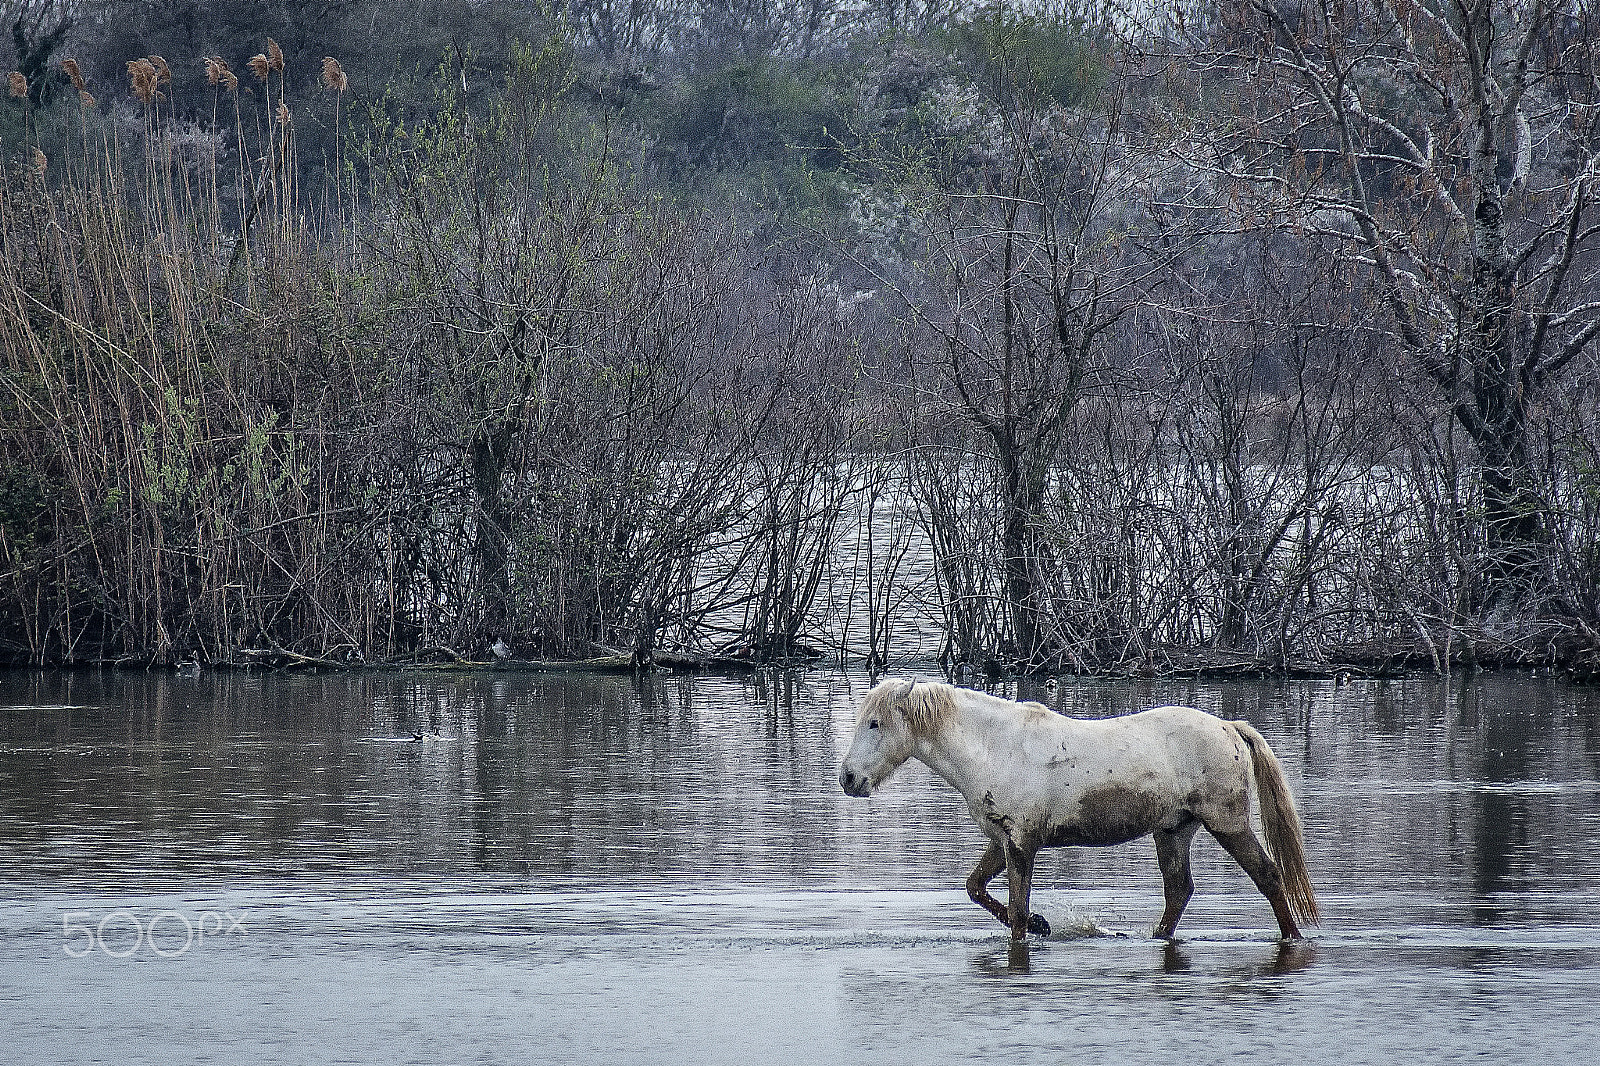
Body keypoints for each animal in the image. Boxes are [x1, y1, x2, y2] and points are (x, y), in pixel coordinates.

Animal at [838, 679, 1319, 943]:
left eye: (876, 723)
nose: (848, 779)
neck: (993, 748)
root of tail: (1228, 728)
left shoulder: (1021, 843)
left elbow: (1014, 911)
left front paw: (1033, 925)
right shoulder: (1001, 839)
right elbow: (976, 888)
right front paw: (1042, 924)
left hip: (1227, 822)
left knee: (1269, 876)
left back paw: (1293, 936)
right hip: (1174, 830)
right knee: (1178, 891)